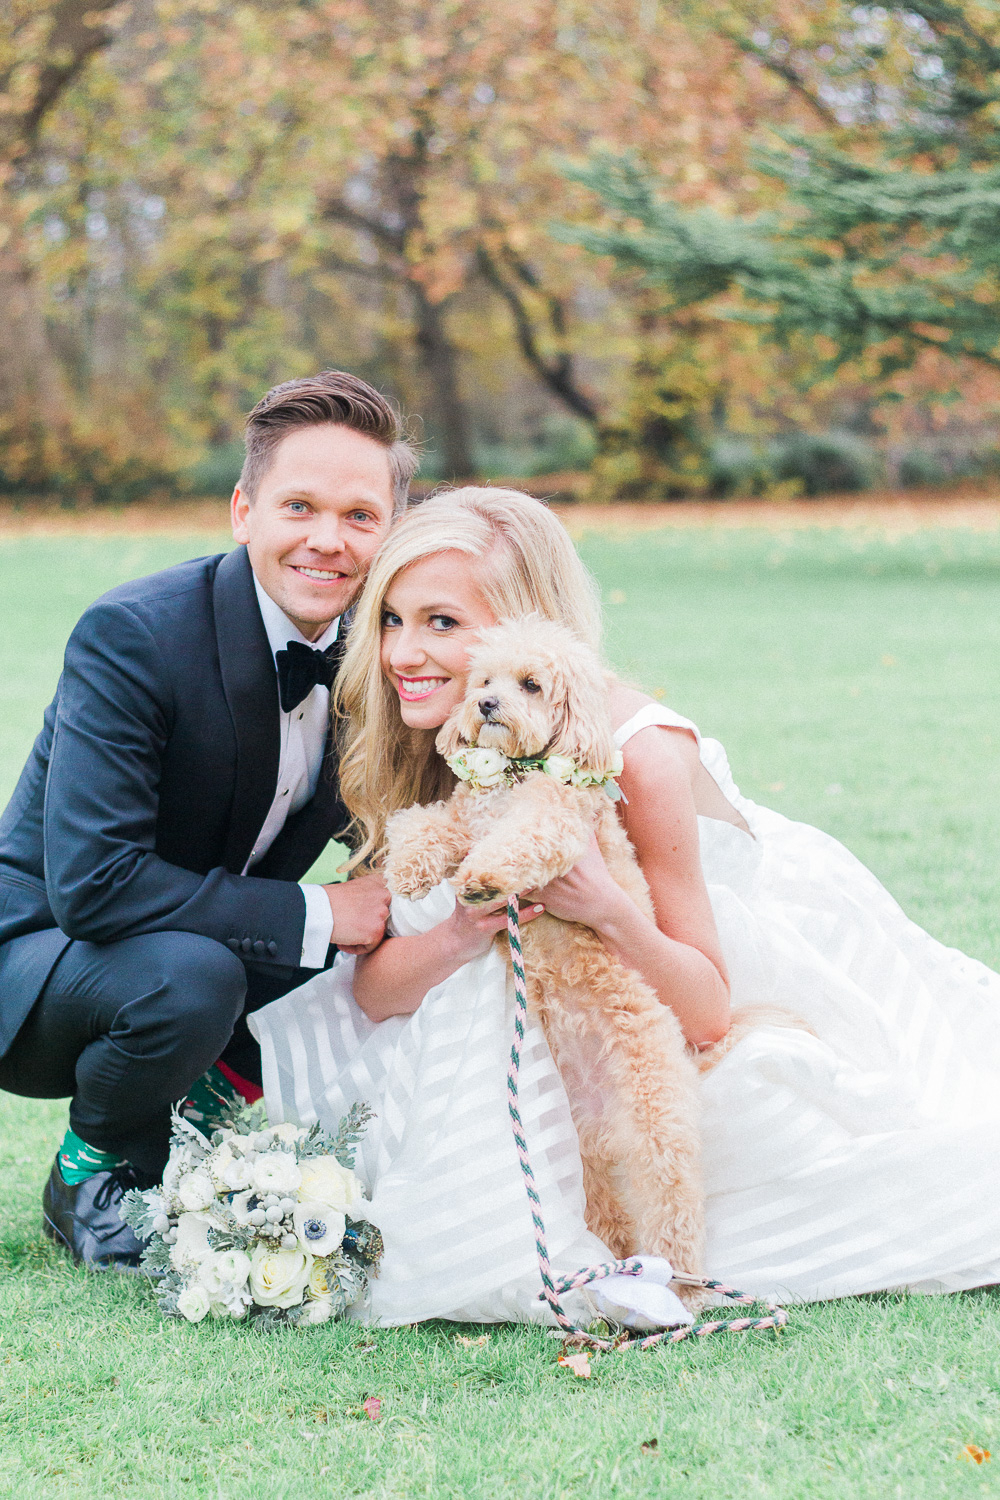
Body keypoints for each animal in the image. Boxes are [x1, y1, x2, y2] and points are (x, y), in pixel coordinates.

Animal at [383, 615, 704, 1284]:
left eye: (530, 684)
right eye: (483, 680)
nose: (485, 705)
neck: (512, 774)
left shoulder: (555, 817)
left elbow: (521, 837)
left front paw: (483, 877)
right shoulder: (464, 817)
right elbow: (425, 824)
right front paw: (409, 867)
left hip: (656, 1122)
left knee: (672, 1203)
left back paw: (682, 1287)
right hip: (575, 1147)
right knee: (604, 1211)